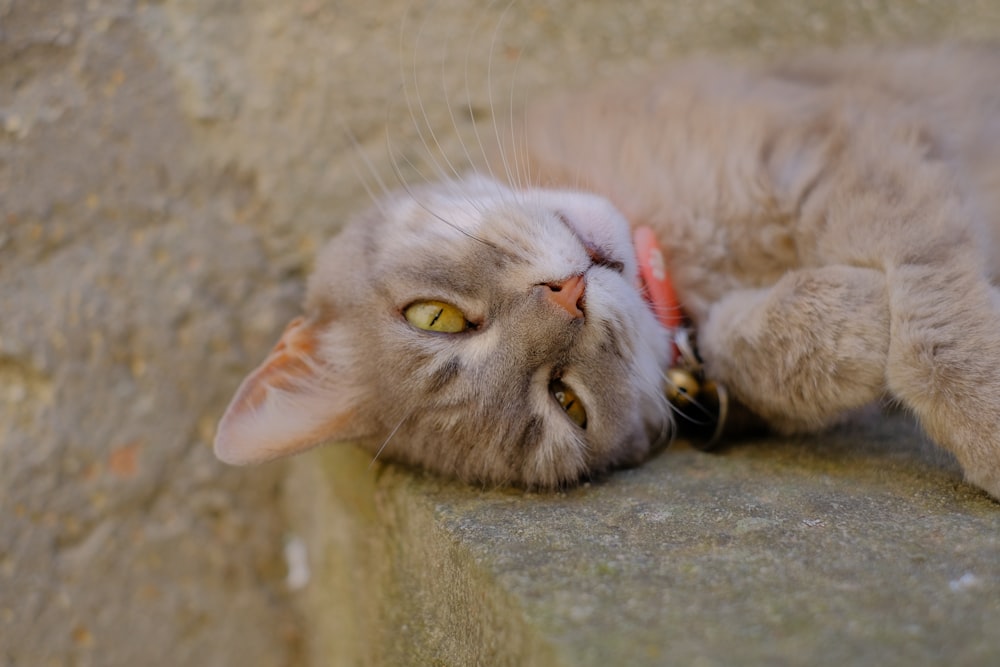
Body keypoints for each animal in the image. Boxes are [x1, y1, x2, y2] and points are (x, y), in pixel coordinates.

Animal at [213, 44, 1000, 498]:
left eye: (433, 315)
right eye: (566, 400)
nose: (570, 295)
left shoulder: (831, 145)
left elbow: (935, 327)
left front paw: (986, 422)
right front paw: (847, 318)